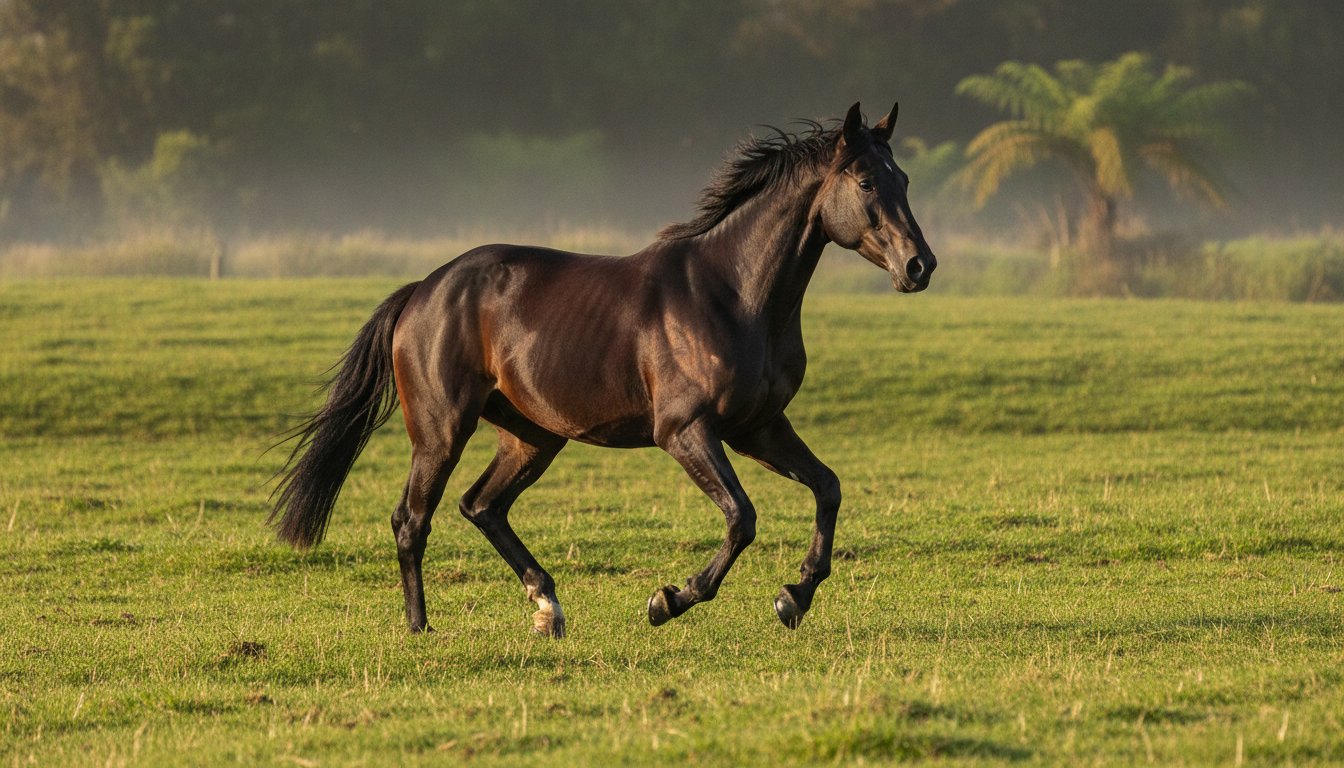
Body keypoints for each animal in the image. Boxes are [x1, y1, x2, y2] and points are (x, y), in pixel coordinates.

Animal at [270, 101, 936, 637]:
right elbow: (742, 518)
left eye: (902, 177)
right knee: (412, 519)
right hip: (441, 432)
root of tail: (422, 291)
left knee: (482, 506)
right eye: (865, 181)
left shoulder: (759, 427)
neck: (734, 294)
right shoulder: (685, 431)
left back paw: (547, 608)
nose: (919, 266)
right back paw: (420, 625)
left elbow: (828, 487)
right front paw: (669, 600)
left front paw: (793, 598)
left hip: (532, 436)